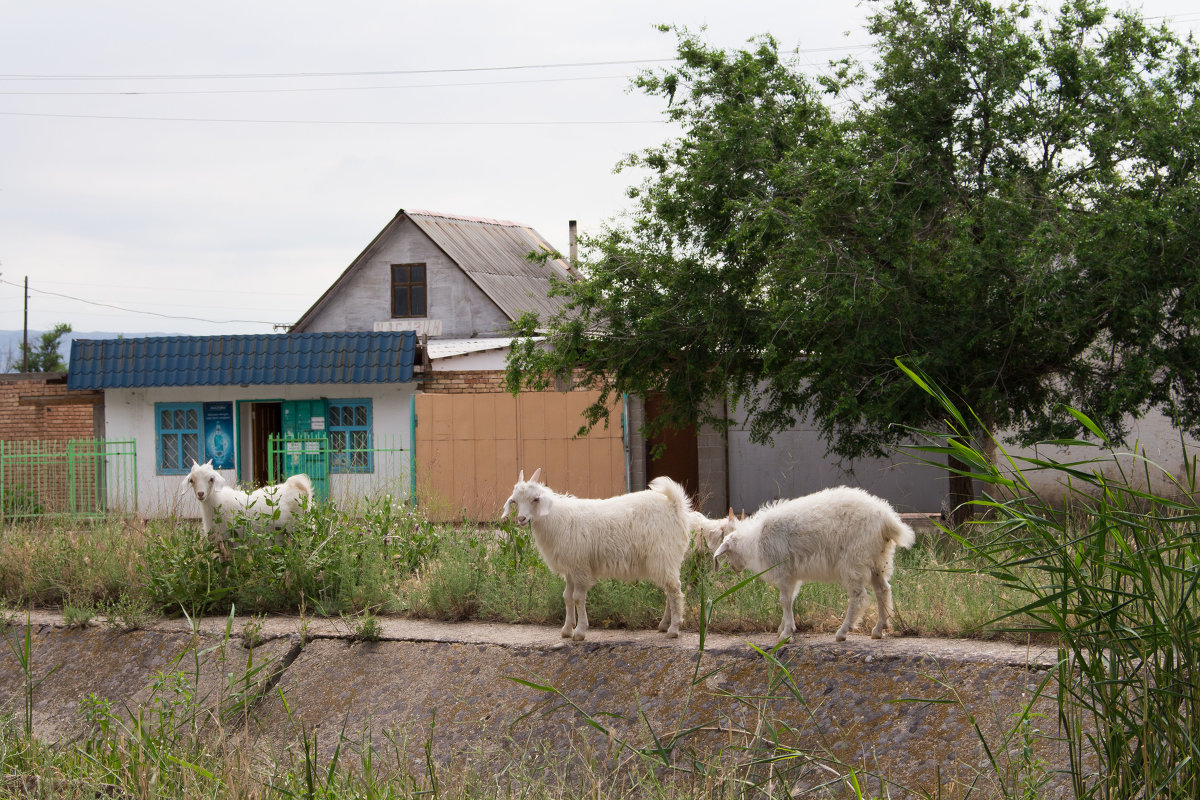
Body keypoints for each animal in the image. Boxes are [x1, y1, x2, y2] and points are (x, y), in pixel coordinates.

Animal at [504, 472, 696, 642]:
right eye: (515, 501)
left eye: (535, 499)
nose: (521, 519)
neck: (557, 518)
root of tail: (674, 504)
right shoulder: (570, 568)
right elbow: (567, 596)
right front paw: (567, 629)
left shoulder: (580, 567)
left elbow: (578, 597)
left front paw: (579, 631)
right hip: (665, 559)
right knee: (669, 589)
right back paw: (664, 625)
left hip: (663, 554)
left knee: (674, 590)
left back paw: (674, 629)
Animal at [710, 484, 916, 642]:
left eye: (727, 553)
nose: (735, 570)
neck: (755, 540)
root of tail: (885, 518)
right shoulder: (792, 576)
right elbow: (790, 599)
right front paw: (783, 628)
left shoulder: (783, 572)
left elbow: (785, 600)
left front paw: (786, 634)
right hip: (878, 560)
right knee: (883, 591)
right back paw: (879, 629)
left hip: (855, 560)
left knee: (859, 597)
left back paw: (843, 631)